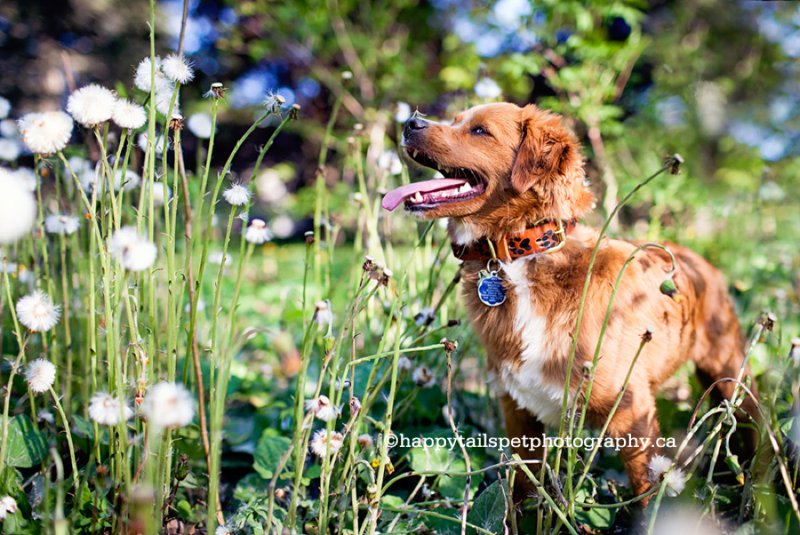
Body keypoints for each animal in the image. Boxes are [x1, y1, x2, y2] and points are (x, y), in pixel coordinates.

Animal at [382, 103, 756, 502]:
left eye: (480, 131)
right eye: (455, 119)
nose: (410, 122)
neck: (523, 254)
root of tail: (697, 259)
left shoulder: (632, 416)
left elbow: (646, 492)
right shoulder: (518, 411)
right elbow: (522, 493)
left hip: (733, 380)